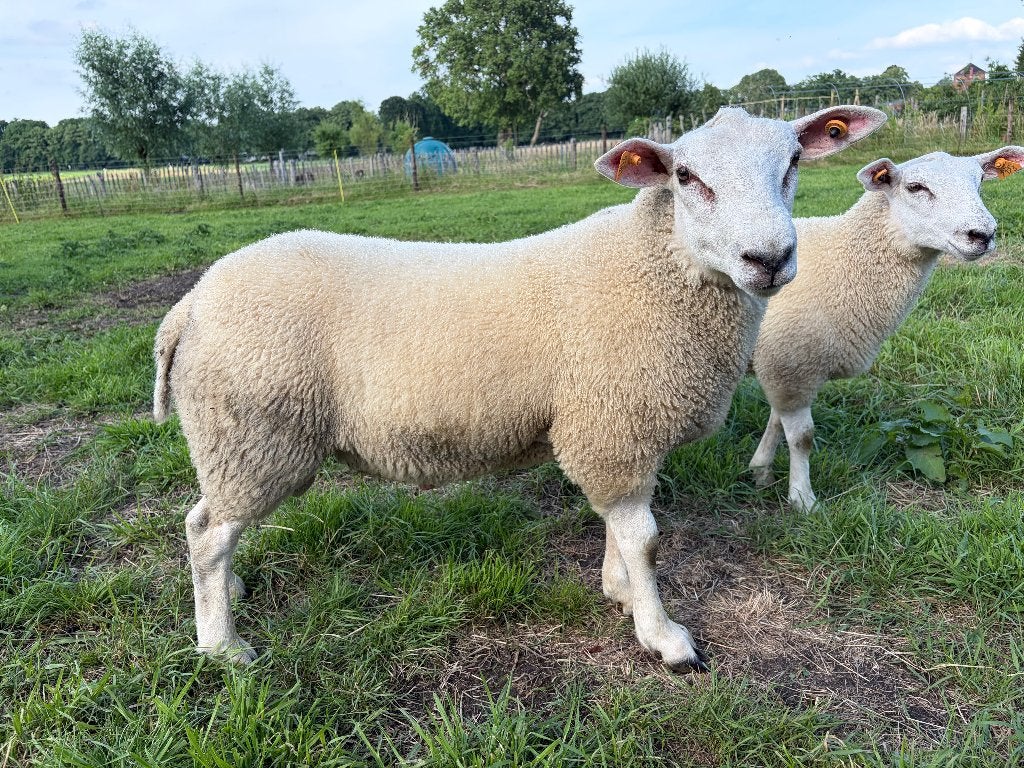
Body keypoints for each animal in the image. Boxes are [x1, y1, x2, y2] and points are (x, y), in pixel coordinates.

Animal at [153, 105, 886, 670]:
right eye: (685, 177)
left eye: (794, 160)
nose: (770, 258)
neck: (656, 270)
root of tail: (188, 306)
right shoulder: (613, 426)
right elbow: (645, 539)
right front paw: (664, 637)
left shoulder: (616, 432)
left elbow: (619, 530)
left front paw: (619, 591)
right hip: (252, 433)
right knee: (206, 533)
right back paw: (222, 645)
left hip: (241, 441)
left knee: (210, 527)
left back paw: (229, 594)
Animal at [749, 146, 1024, 511]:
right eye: (915, 187)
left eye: (979, 181)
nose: (983, 235)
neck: (844, 260)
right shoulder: (790, 363)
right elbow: (801, 437)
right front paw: (803, 499)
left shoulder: (784, 369)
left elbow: (776, 421)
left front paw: (761, 470)